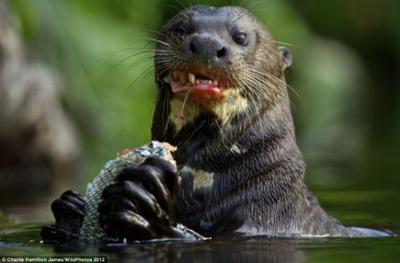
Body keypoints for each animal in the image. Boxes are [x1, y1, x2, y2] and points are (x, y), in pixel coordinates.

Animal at [41, 5, 388, 243]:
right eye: (180, 28)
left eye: (240, 37)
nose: (207, 44)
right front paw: (70, 209)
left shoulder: (260, 220)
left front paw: (146, 208)